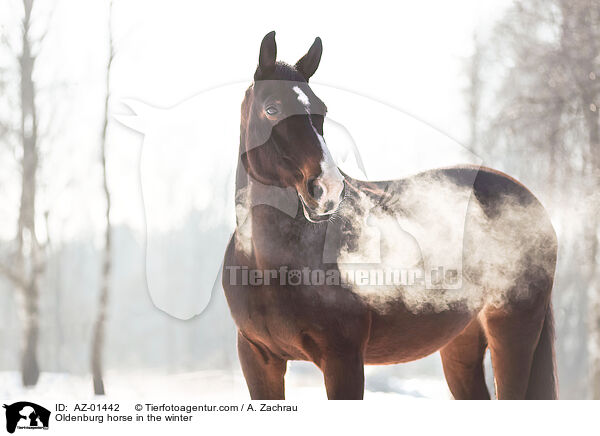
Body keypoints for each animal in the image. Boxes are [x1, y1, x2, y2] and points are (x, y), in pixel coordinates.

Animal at [223, 29, 560, 398]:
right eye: (271, 109)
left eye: (321, 110)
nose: (328, 189)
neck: (270, 264)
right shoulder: (257, 360)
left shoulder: (343, 359)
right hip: (461, 342)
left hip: (512, 329)